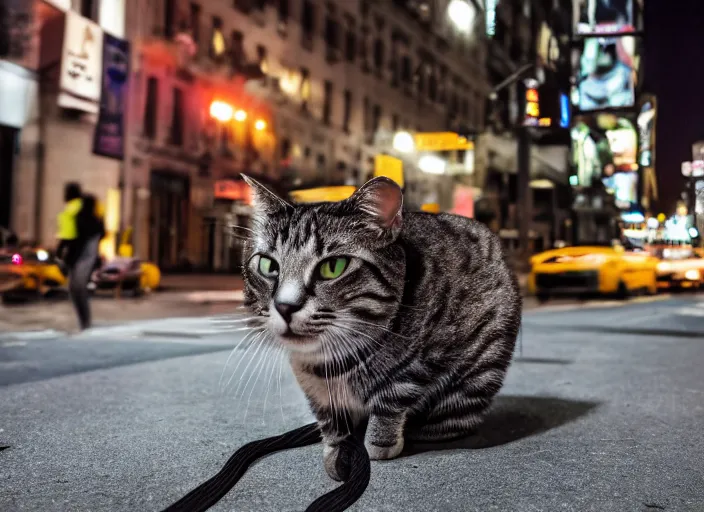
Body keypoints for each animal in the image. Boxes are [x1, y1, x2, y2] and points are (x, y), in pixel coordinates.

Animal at [242, 175, 524, 480]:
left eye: (333, 266)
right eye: (268, 265)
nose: (285, 306)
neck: (327, 360)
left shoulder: (416, 365)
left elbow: (390, 403)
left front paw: (377, 445)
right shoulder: (317, 391)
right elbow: (332, 423)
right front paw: (336, 449)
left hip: (476, 376)